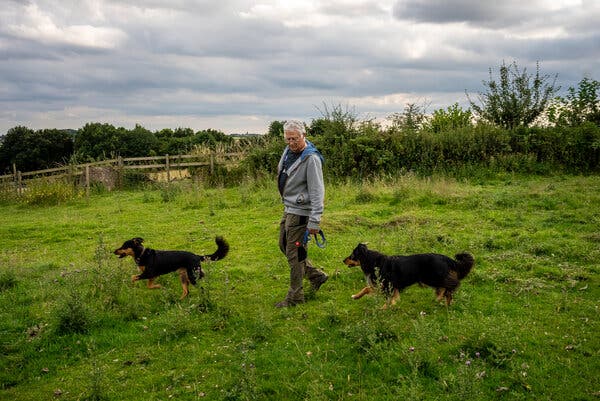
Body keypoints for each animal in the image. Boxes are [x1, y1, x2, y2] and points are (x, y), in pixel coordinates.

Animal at [344, 242, 476, 308]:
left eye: (352, 255)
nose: (343, 260)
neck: (373, 261)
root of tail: (445, 258)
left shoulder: (387, 286)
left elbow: (388, 300)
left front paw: (384, 308)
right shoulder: (382, 286)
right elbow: (366, 288)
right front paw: (355, 296)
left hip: (432, 277)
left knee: (451, 285)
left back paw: (444, 301)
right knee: (446, 289)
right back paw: (442, 300)